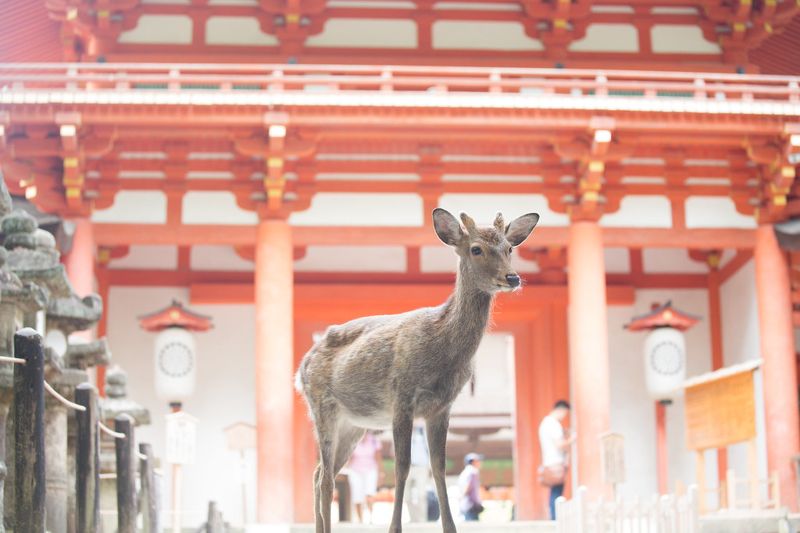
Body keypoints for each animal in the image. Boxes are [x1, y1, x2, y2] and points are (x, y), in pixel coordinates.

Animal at [295, 208, 539, 533]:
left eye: (510, 248)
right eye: (476, 249)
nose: (512, 277)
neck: (443, 354)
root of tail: (301, 369)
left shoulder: (442, 406)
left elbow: (439, 467)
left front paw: (450, 528)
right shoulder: (403, 395)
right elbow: (403, 465)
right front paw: (394, 528)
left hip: (354, 424)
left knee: (319, 472)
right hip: (322, 407)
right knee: (324, 478)